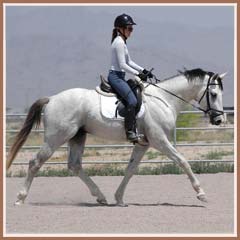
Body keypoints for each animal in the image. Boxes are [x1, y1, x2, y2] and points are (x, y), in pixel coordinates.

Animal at [6, 68, 227, 206]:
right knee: (35, 162)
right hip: (56, 137)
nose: (219, 120)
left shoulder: (143, 144)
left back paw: (101, 197)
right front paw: (201, 194)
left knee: (75, 165)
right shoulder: (159, 140)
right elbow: (183, 161)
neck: (165, 99)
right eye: (214, 94)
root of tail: (51, 99)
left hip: (77, 136)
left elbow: (130, 169)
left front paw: (119, 199)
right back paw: (20, 198)